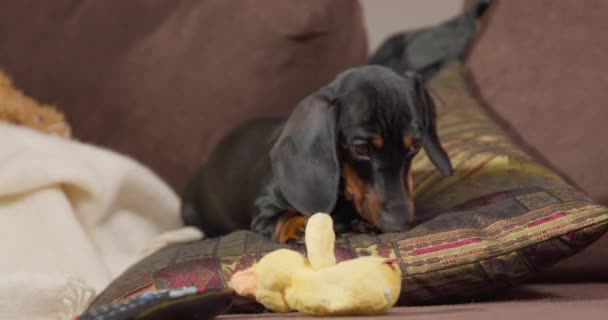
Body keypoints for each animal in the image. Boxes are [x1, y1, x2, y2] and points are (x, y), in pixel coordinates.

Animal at [183, 66, 454, 244]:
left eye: (415, 145)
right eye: (361, 149)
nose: (399, 225)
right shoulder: (264, 210)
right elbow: (281, 218)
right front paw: (299, 226)